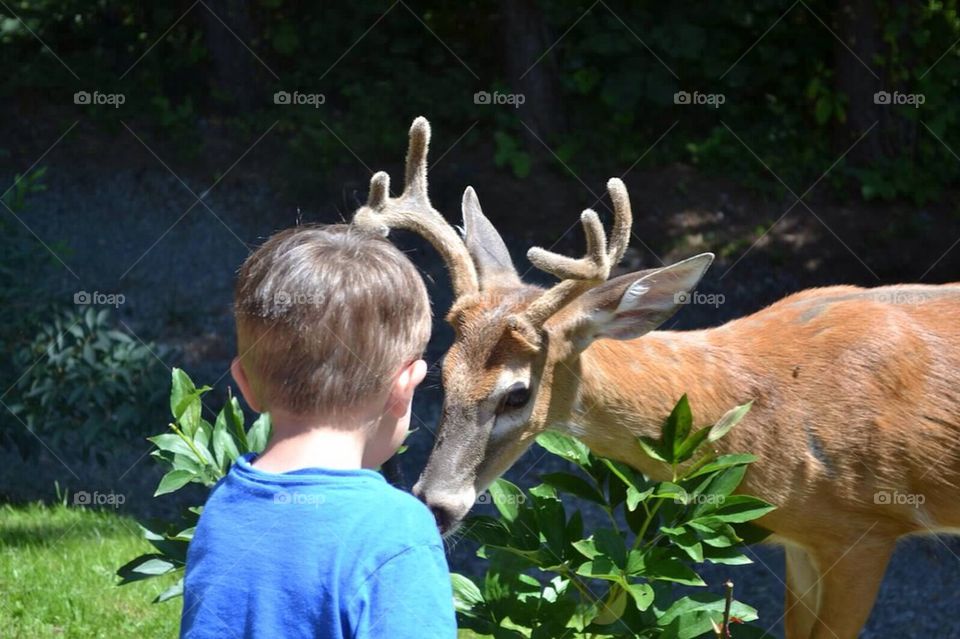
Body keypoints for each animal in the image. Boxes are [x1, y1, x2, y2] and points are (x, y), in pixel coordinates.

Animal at [352, 117, 960, 639]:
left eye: (517, 393)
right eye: (441, 374)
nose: (435, 504)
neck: (771, 408)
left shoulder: (865, 531)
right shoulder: (801, 542)